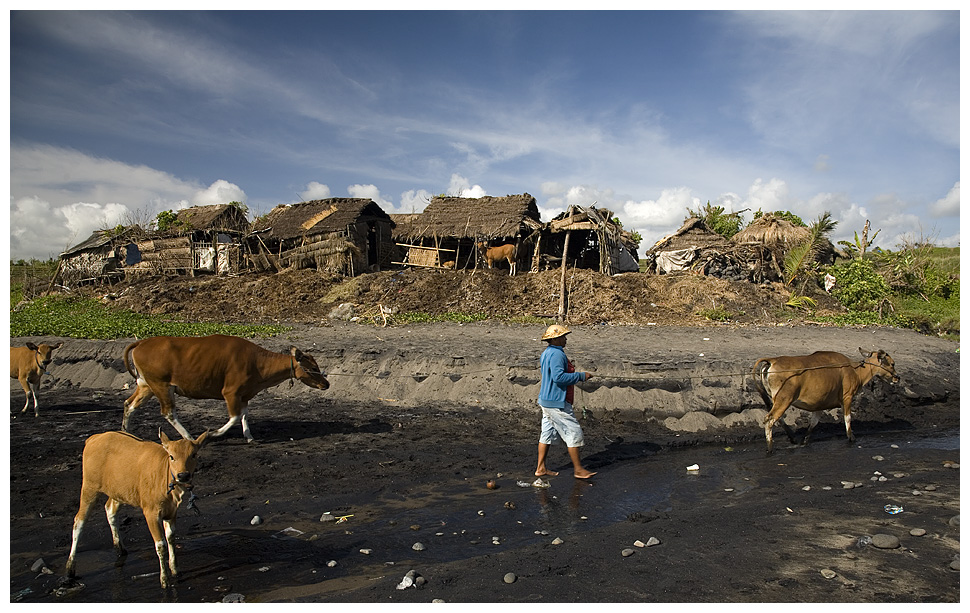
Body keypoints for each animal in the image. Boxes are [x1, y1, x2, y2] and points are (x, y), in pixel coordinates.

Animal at [65, 426, 208, 588]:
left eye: (194, 455)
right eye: (171, 456)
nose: (183, 475)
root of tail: (95, 438)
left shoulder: (172, 512)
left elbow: (171, 538)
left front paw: (175, 569)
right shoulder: (150, 512)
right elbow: (161, 545)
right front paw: (164, 580)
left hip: (119, 490)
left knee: (110, 509)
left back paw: (120, 549)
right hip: (89, 487)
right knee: (79, 521)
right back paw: (70, 568)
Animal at [120, 332, 328, 442]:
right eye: (313, 368)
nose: (326, 383)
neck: (256, 362)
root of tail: (142, 342)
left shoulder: (244, 394)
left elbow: (244, 415)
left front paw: (249, 436)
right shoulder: (230, 392)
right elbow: (234, 416)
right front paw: (214, 433)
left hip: (146, 385)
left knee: (129, 404)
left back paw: (126, 432)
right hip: (161, 385)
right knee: (168, 412)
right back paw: (189, 437)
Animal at [748, 346, 900, 452]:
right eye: (892, 364)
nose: (897, 378)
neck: (855, 371)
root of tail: (773, 360)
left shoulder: (819, 404)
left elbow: (813, 423)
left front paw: (804, 441)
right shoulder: (847, 397)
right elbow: (848, 419)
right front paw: (851, 438)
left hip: (776, 398)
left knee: (776, 418)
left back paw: (792, 438)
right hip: (785, 399)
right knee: (769, 419)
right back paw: (770, 448)